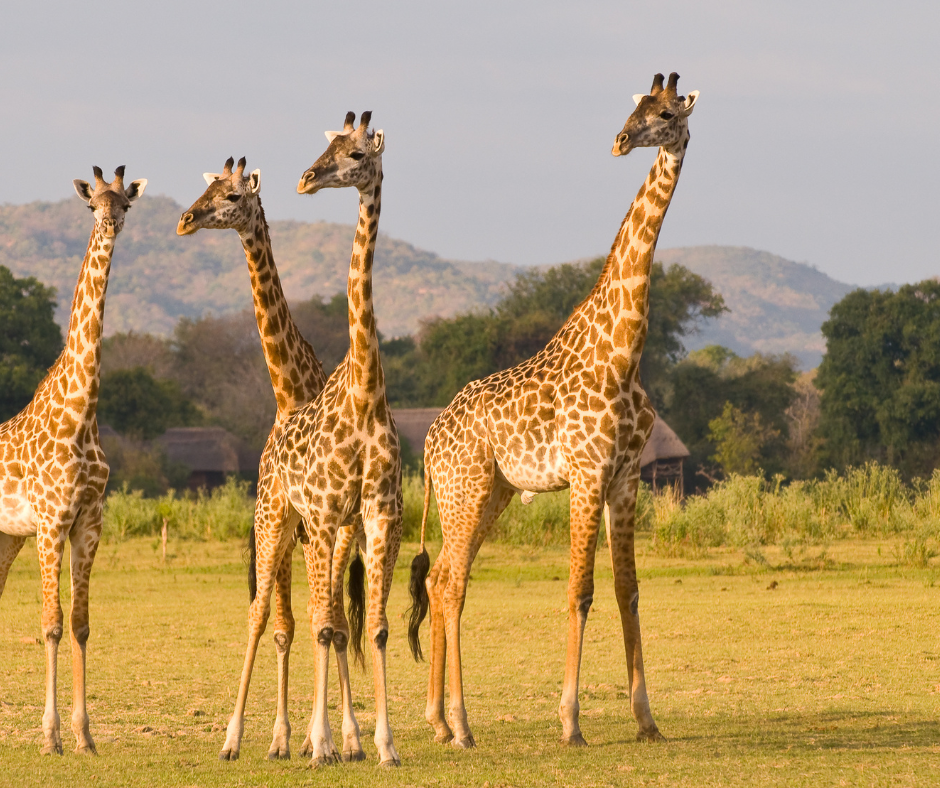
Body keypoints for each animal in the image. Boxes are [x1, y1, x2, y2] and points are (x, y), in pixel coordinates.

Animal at [176, 162, 368, 764]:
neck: (290, 392)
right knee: (289, 619)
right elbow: (280, 622)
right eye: (207, 189)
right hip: (288, 534)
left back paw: (339, 736)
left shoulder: (327, 527)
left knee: (336, 618)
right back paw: (290, 737)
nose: (186, 218)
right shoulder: (290, 526)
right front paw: (276, 737)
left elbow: (328, 621)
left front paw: (334, 736)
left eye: (233, 196)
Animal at [412, 75, 696, 752]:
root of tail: (428, 441)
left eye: (665, 113)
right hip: (466, 490)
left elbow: (626, 591)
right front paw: (569, 722)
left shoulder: (625, 477)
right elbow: (579, 591)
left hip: (490, 493)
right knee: (451, 584)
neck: (624, 352)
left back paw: (438, 720)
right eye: (635, 108)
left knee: (441, 580)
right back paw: (461, 725)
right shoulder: (587, 476)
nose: (621, 140)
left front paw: (647, 719)